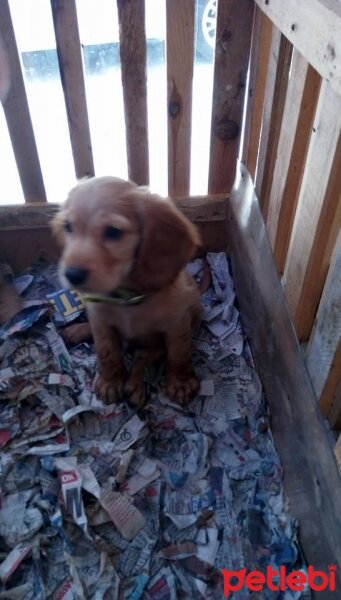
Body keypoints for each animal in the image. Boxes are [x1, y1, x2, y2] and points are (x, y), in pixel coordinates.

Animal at [52, 175, 202, 408]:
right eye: (67, 226)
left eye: (113, 232)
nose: (72, 274)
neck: (126, 296)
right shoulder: (100, 319)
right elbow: (107, 352)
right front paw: (110, 382)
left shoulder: (177, 324)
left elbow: (178, 354)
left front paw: (181, 382)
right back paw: (78, 330)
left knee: (142, 358)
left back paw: (136, 386)